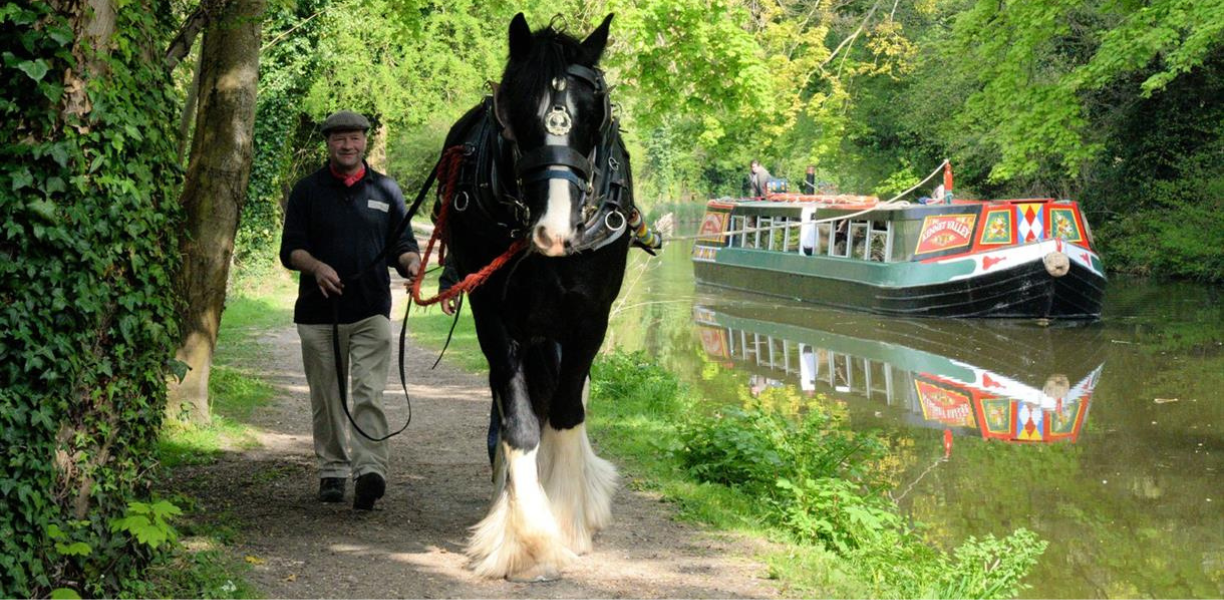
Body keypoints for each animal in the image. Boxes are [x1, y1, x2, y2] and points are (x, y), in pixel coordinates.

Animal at [433, 12, 636, 580]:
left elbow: (567, 410)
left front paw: (568, 519)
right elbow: (520, 424)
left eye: (594, 111)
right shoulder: (494, 318)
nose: (554, 230)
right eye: (515, 109)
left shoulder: (591, 319)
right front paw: (528, 540)